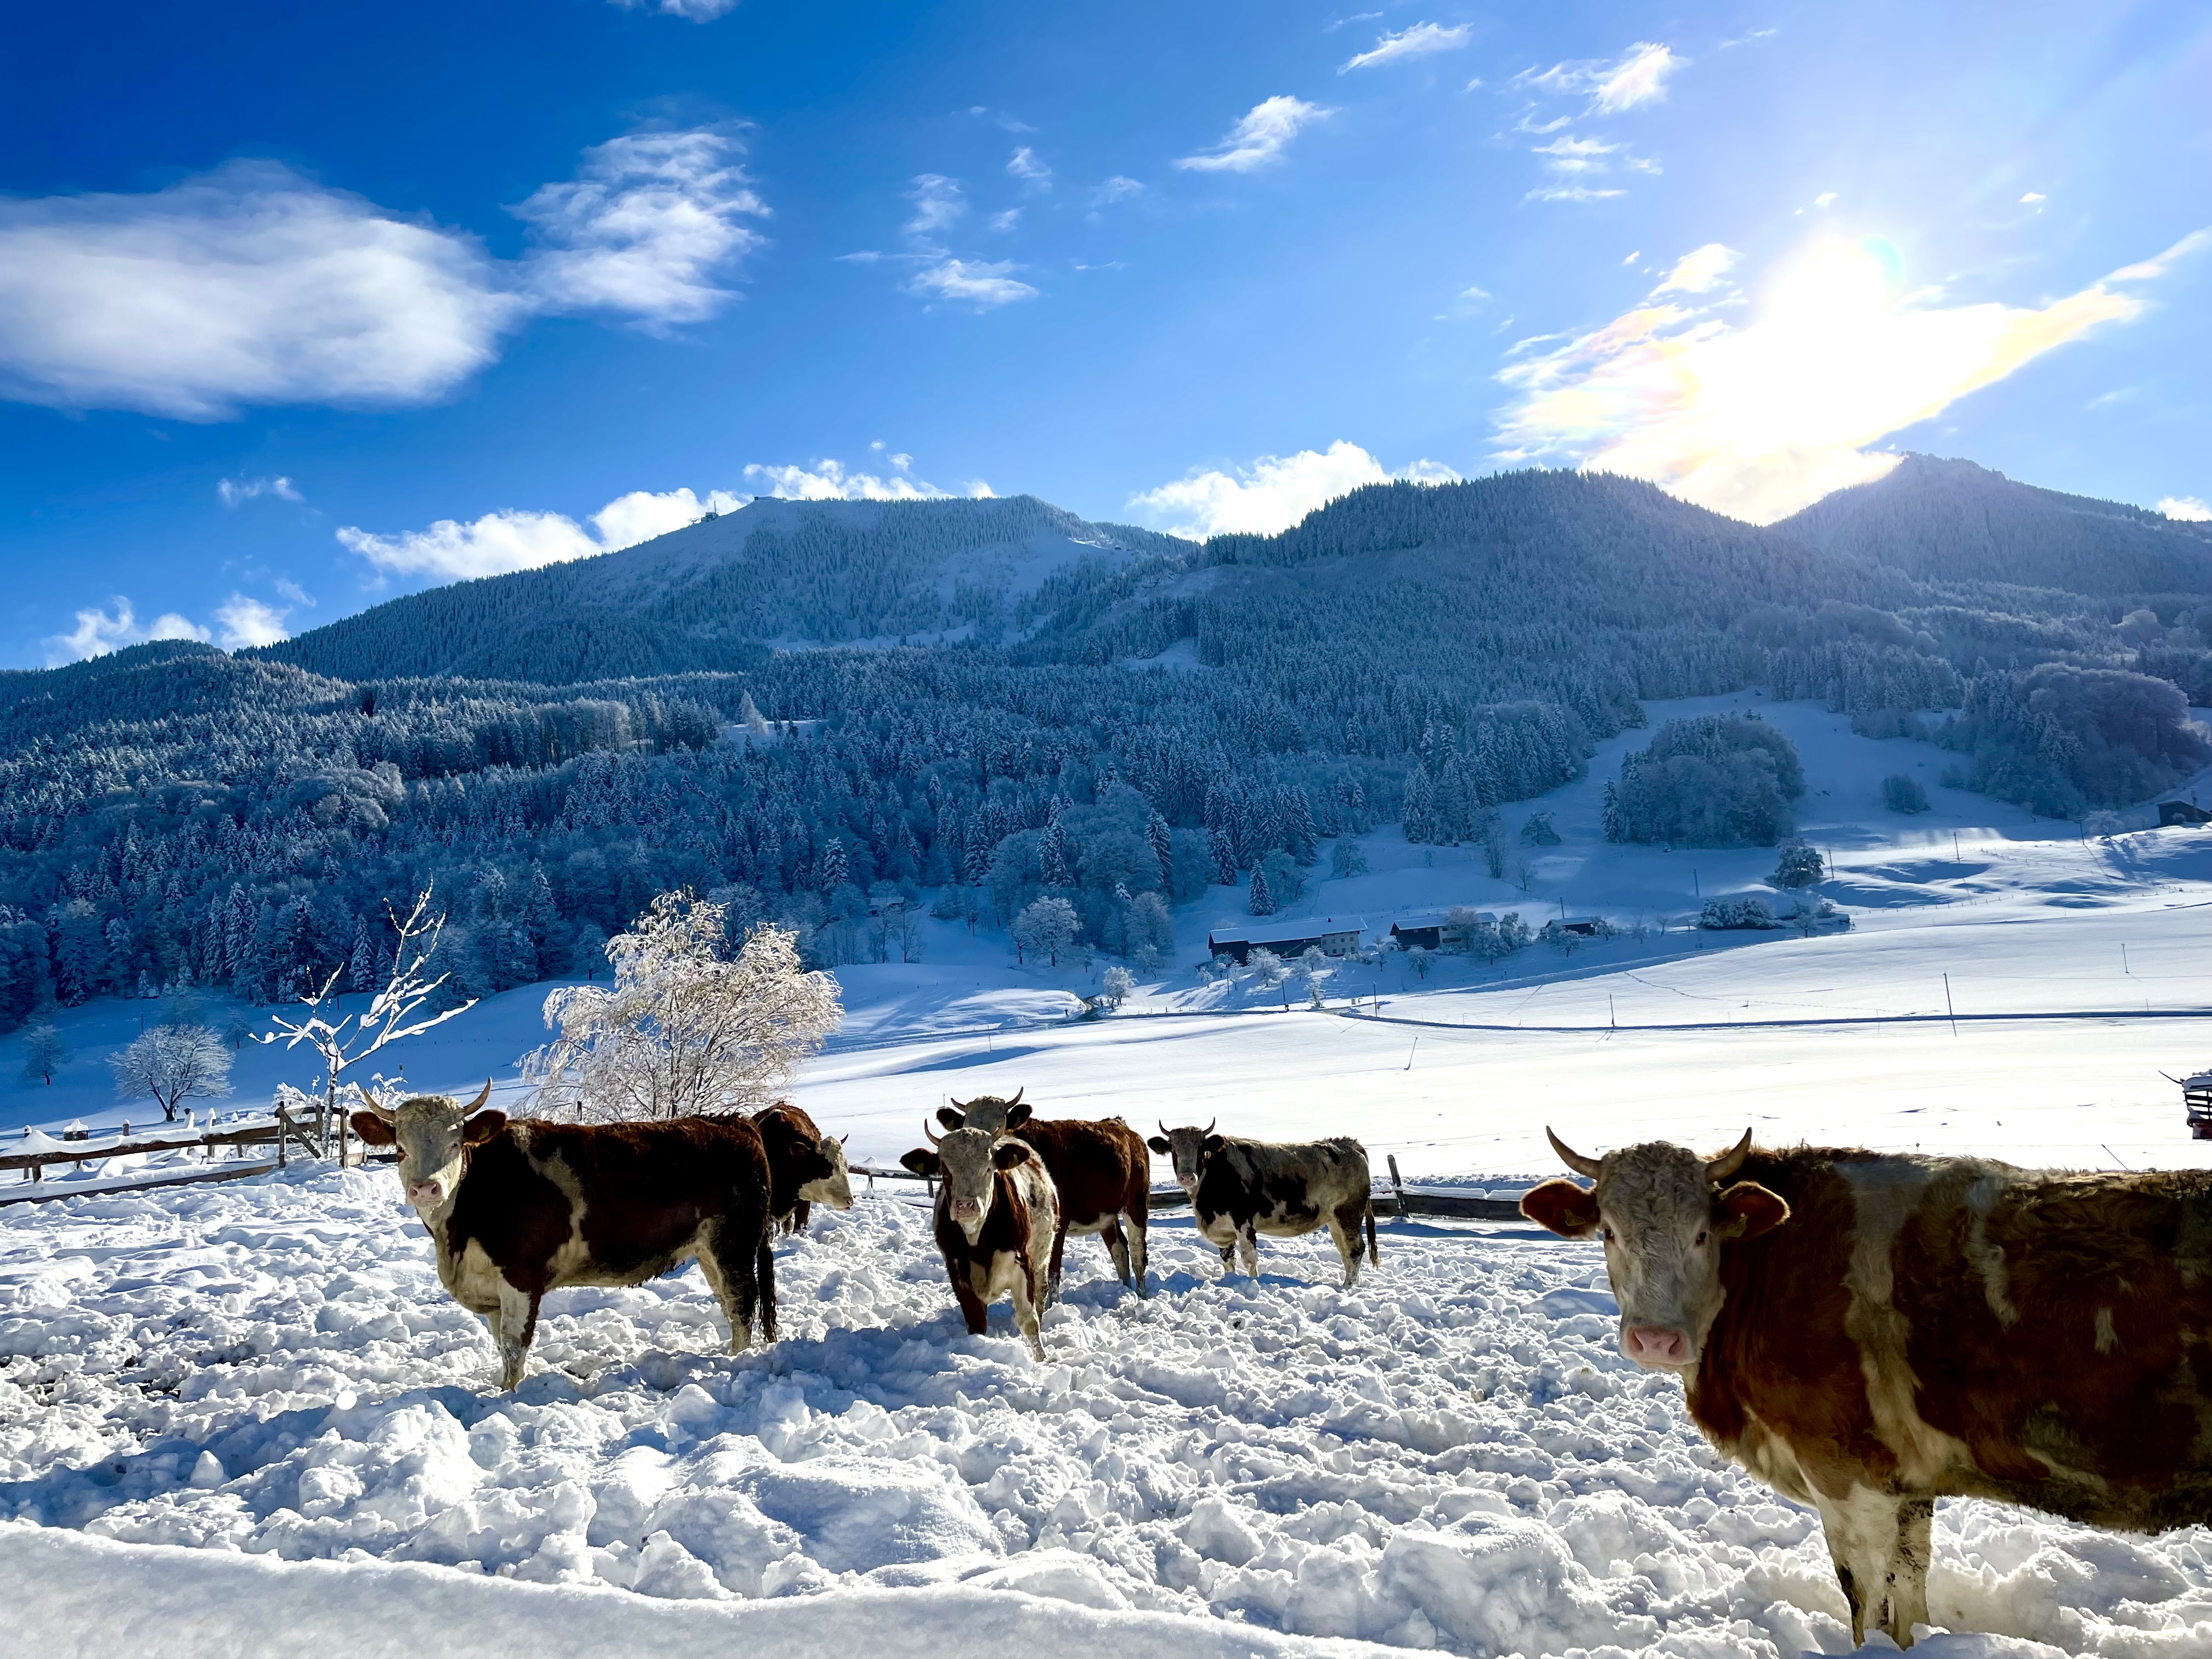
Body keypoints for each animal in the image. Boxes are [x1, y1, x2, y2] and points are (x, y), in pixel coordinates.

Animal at [350, 1084, 777, 1392]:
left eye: (456, 1144)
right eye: (400, 1149)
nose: (426, 1189)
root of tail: (733, 1123)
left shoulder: (521, 1277)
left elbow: (514, 1346)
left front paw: (508, 1397)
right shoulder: (490, 1289)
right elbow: (501, 1345)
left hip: (734, 1246)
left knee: (742, 1306)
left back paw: (736, 1363)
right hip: (708, 1252)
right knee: (729, 1306)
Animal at [899, 1118, 1059, 1360]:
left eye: (989, 1168)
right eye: (945, 1170)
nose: (966, 1205)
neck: (978, 1241)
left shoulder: (1022, 1262)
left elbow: (1029, 1321)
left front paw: (1042, 1361)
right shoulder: (957, 1269)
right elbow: (976, 1323)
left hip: (1042, 1257)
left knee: (1041, 1294)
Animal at [937, 1091, 1150, 1301]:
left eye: (1000, 1125)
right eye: (965, 1125)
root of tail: (1121, 1125)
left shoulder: (1058, 1223)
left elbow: (1052, 1273)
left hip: (1137, 1202)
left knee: (1138, 1251)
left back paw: (1141, 1295)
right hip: (1106, 1215)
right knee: (1120, 1249)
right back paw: (1126, 1291)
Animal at [1146, 1121, 1377, 1287]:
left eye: (1201, 1148)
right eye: (1173, 1149)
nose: (1187, 1177)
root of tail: (1347, 1144)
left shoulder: (1243, 1222)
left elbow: (1249, 1259)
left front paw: (1253, 1283)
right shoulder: (1223, 1230)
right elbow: (1227, 1260)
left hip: (1349, 1213)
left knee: (1355, 1250)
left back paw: (1347, 1287)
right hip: (1334, 1220)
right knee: (1345, 1252)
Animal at [1520, 1128, 2212, 1649]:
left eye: (1701, 1233)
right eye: (1609, 1231)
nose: (1655, 1340)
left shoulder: (1845, 1474)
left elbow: (1867, 1598)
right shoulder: (1904, 1479)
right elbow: (1910, 1585)